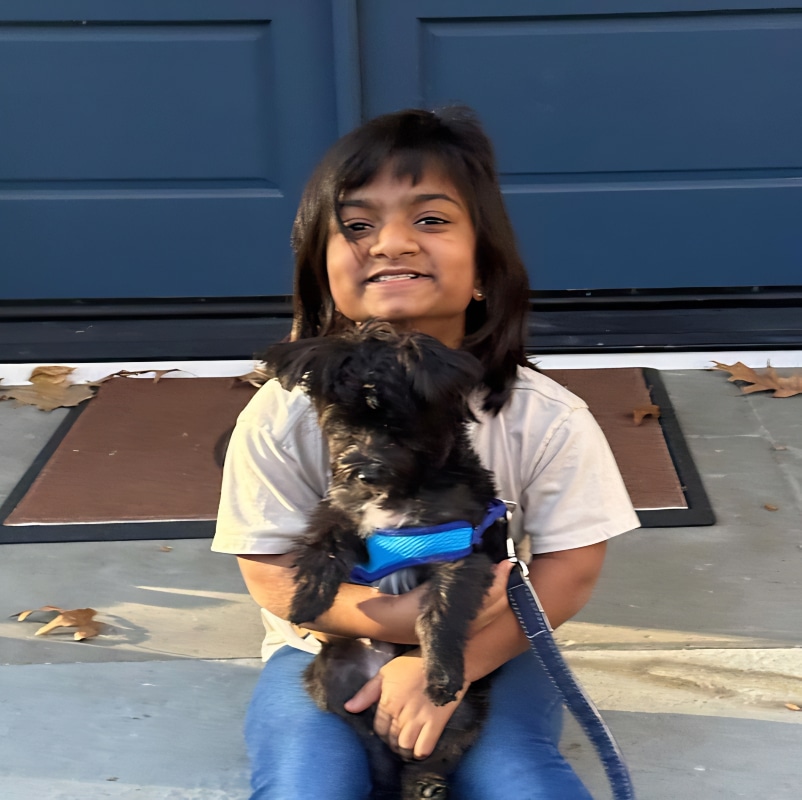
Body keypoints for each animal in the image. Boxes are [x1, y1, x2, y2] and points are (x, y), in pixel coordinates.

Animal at [262, 320, 506, 800]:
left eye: (397, 425)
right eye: (342, 426)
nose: (364, 471)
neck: (402, 490)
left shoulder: (459, 550)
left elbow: (441, 611)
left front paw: (441, 671)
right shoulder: (342, 511)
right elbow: (325, 545)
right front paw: (306, 599)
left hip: (465, 713)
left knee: (439, 751)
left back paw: (425, 784)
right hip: (332, 682)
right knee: (372, 749)